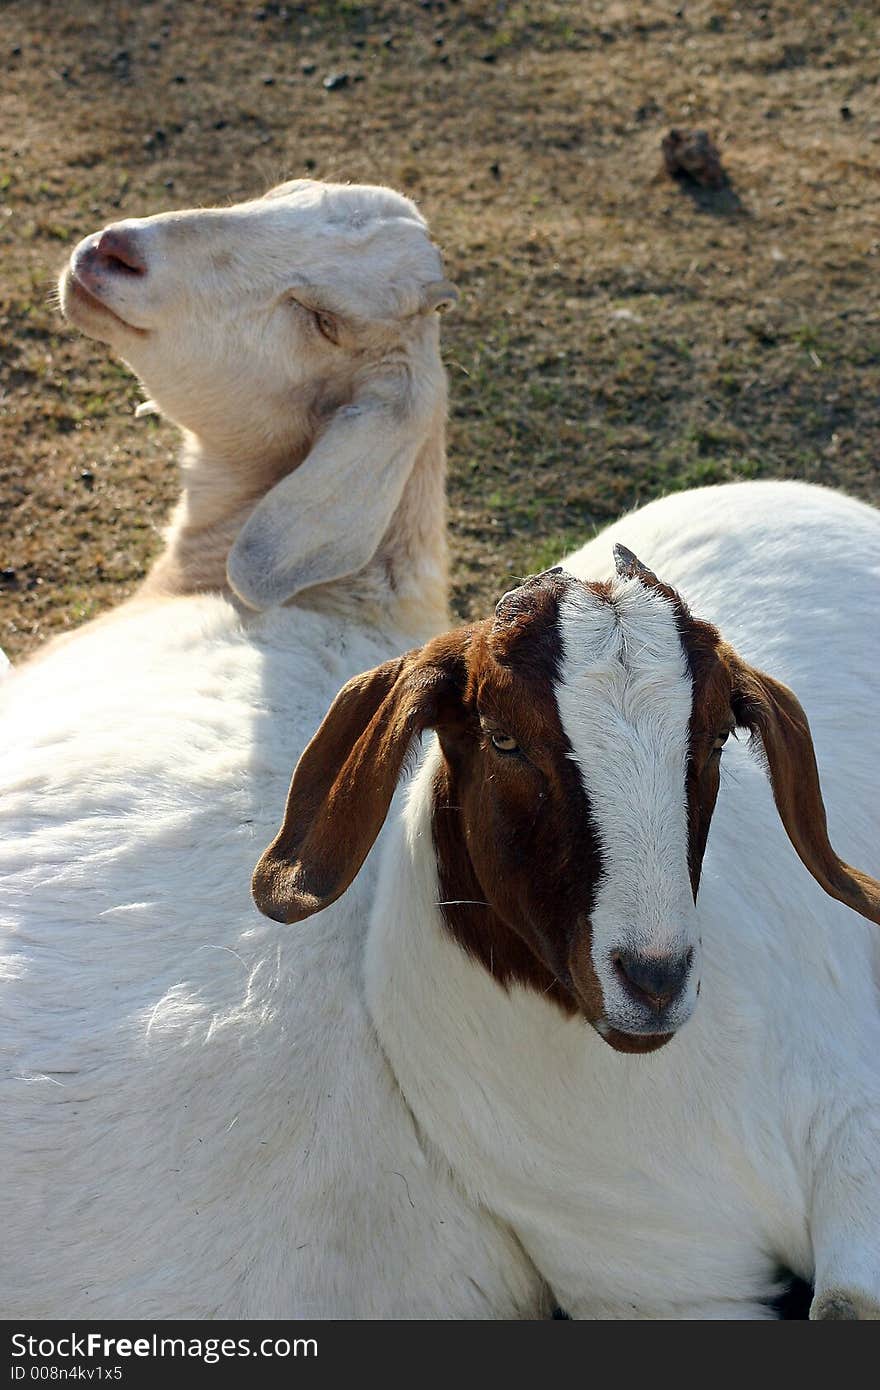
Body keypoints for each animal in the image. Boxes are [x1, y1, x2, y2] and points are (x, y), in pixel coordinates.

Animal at [255, 483, 878, 1317]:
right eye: (502, 737)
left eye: (718, 736)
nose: (655, 978)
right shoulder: (658, 1282)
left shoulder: (854, 1126)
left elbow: (846, 1299)